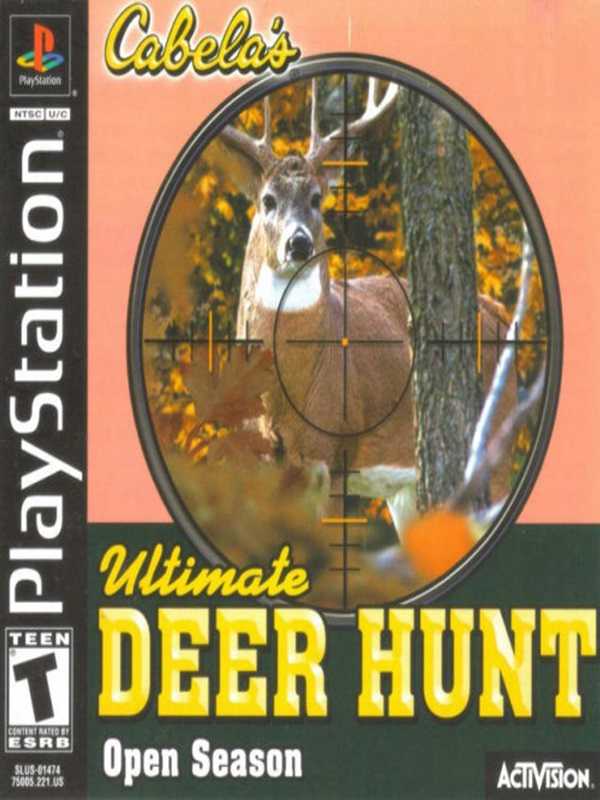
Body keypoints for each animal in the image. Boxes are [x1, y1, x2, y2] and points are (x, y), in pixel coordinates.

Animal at [207, 77, 517, 542]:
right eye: (267, 200)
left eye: (317, 198)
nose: (299, 243)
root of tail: (498, 311)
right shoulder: (257, 465)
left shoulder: (333, 454)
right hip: (406, 488)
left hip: (495, 440)